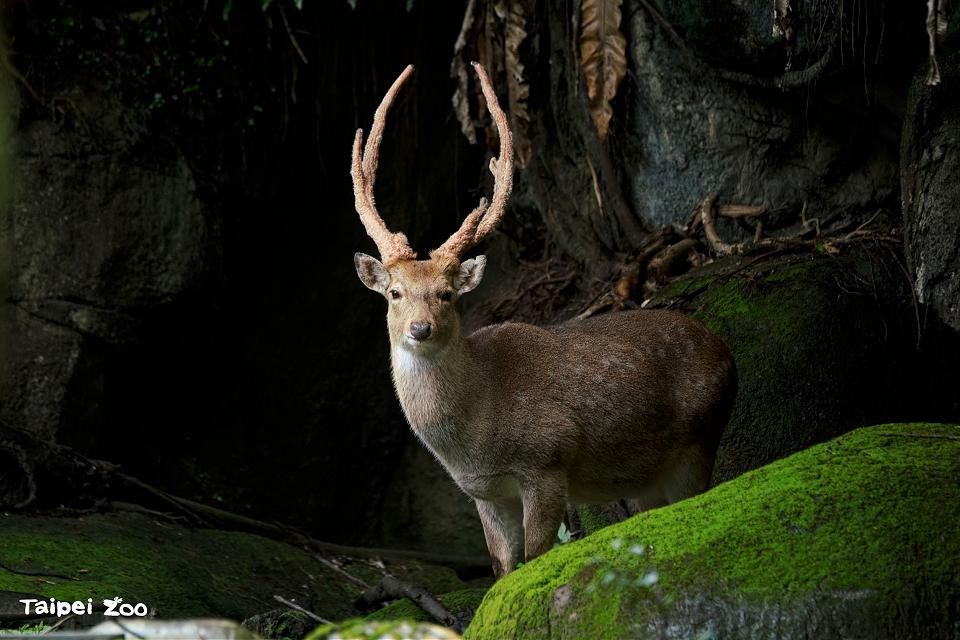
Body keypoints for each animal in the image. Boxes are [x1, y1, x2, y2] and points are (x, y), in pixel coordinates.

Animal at [350, 62, 736, 576]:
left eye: (447, 294)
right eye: (395, 293)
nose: (420, 327)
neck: (475, 436)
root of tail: (727, 354)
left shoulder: (548, 461)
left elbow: (536, 556)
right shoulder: (486, 493)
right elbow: (503, 567)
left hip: (699, 440)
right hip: (649, 476)